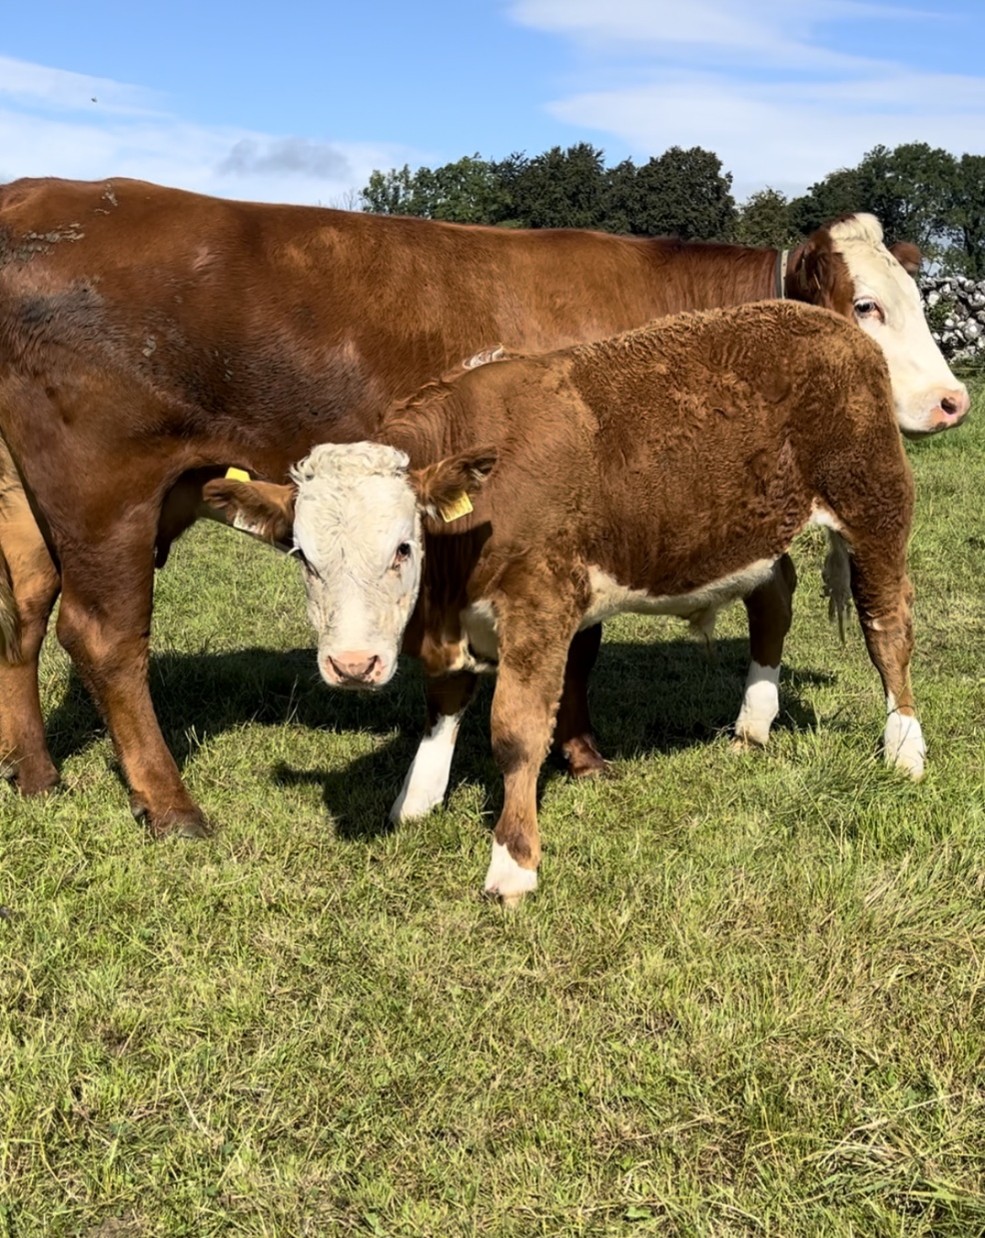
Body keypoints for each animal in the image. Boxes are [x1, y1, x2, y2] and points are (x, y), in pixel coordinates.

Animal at [0, 176, 967, 837]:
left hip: (32, 506)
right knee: (105, 637)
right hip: (105, 500)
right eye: (866, 307)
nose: (952, 402)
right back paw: (171, 806)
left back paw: (38, 774)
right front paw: (582, 757)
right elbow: (579, 656)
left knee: (24, 616)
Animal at [204, 300, 929, 902]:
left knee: (886, 624)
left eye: (403, 548)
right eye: (303, 556)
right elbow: (442, 702)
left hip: (874, 501)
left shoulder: (541, 601)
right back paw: (752, 726)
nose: (352, 666)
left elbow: (517, 731)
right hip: (753, 530)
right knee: (773, 601)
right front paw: (417, 798)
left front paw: (513, 863)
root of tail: (828, 321)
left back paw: (904, 748)